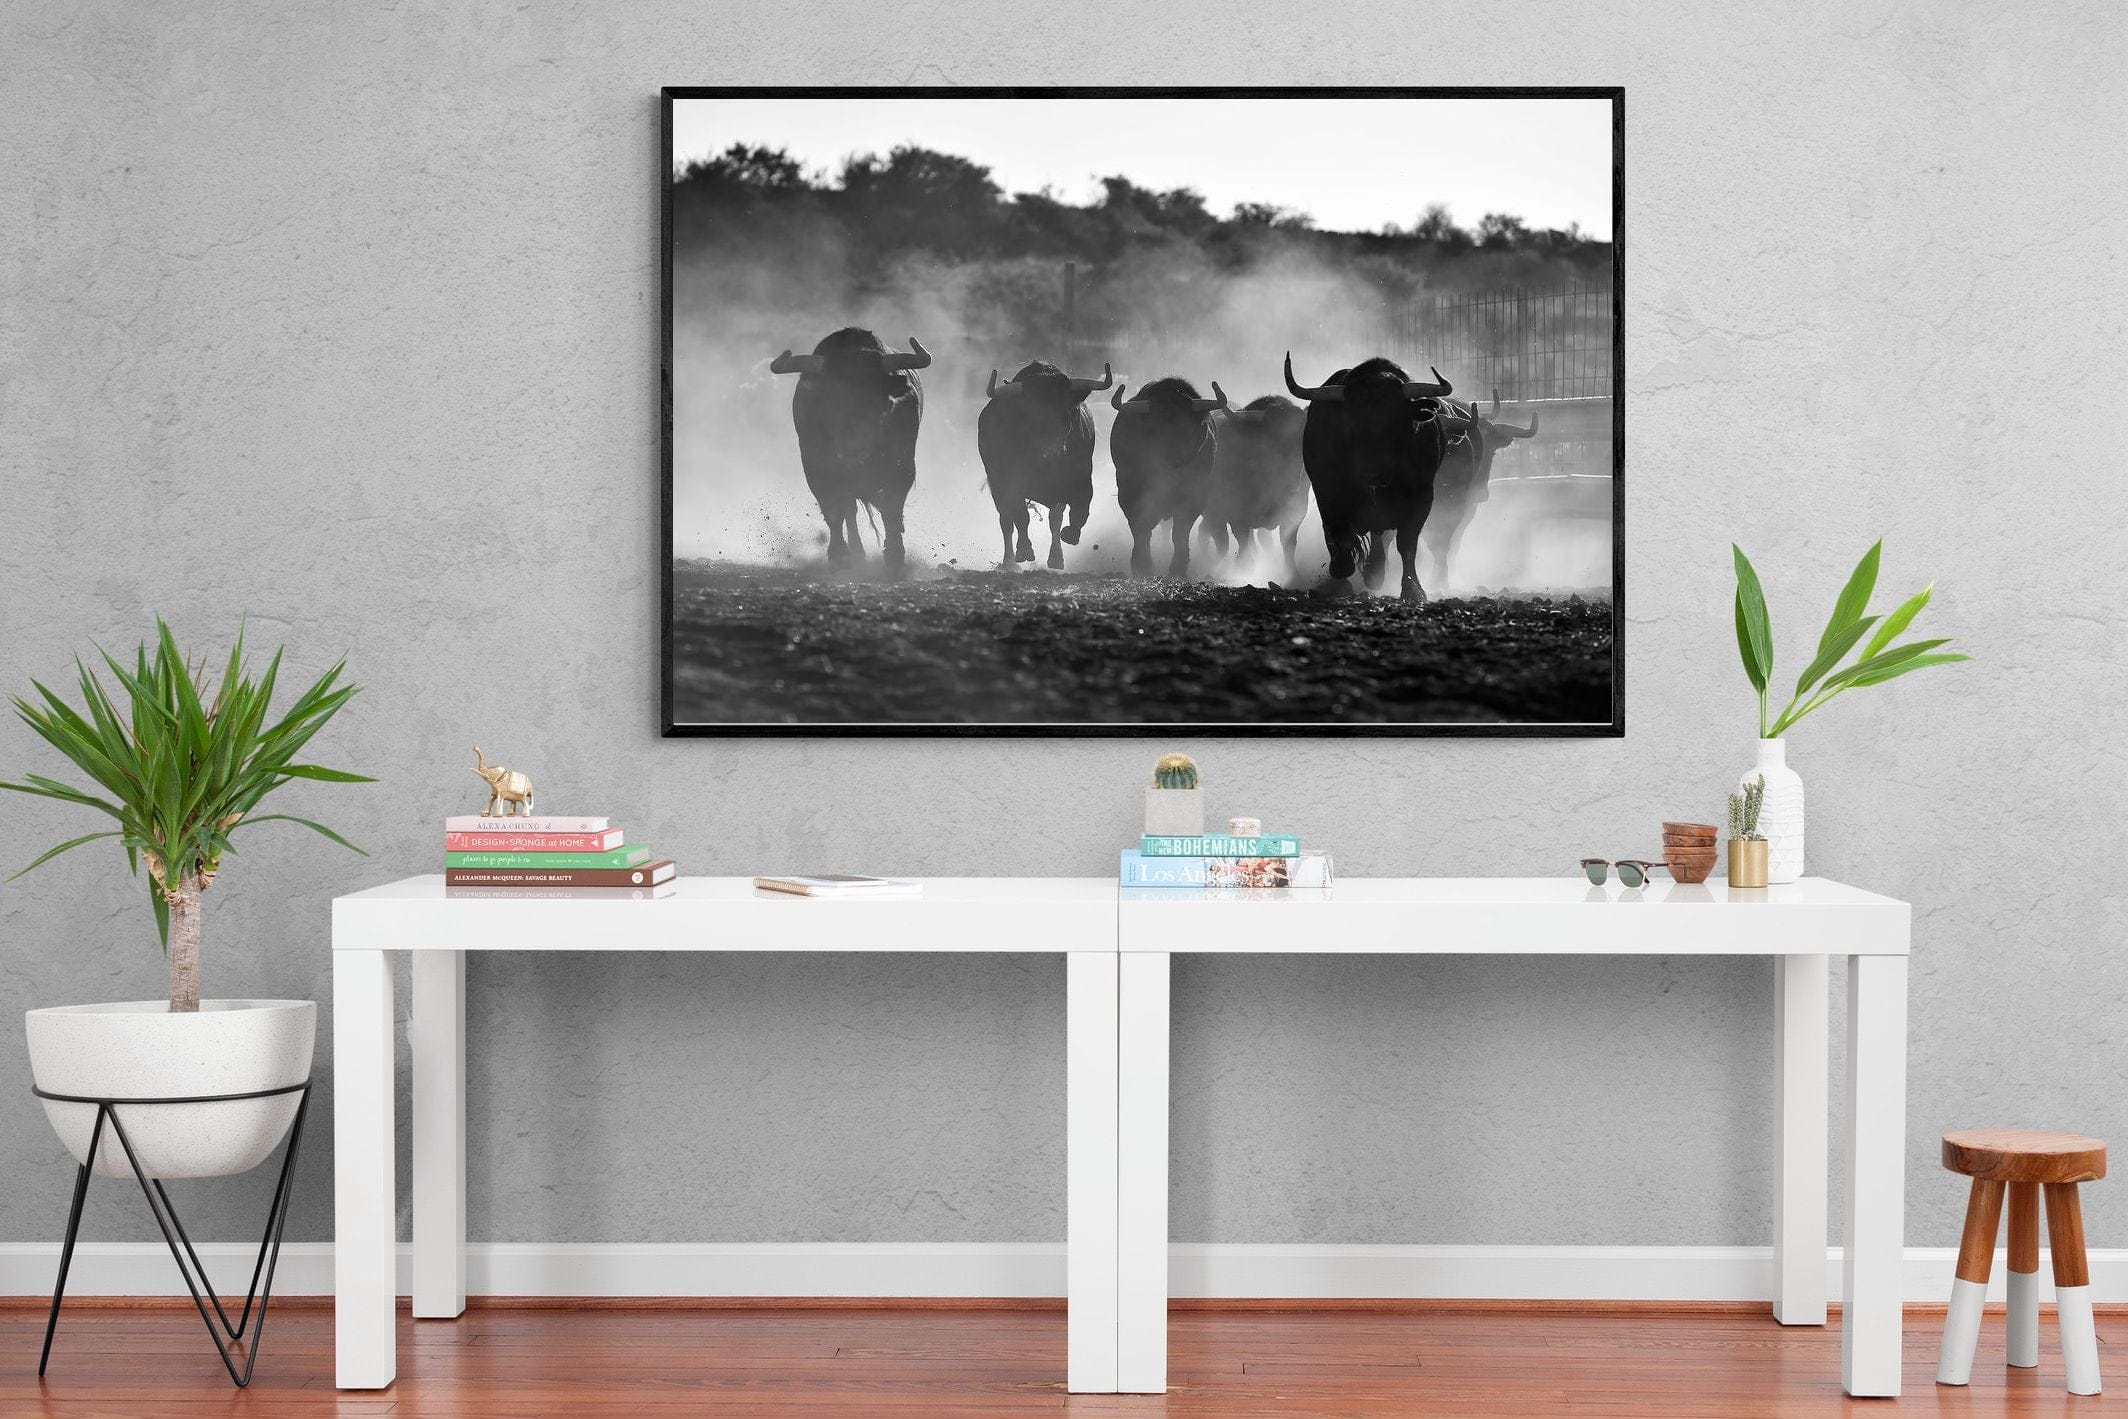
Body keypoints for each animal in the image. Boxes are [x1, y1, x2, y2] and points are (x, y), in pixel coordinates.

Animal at [767, 328, 930, 572]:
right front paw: (839, 555)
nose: (853, 448)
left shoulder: (903, 467)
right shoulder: (816, 468)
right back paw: (856, 552)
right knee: (849, 511)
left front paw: (894, 554)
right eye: (830, 399)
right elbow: (834, 511)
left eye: (877, 397)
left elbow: (892, 508)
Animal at [977, 359, 1111, 570]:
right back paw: (1009, 562)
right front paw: (1024, 550)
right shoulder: (1011, 483)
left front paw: (1069, 537)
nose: (1052, 449)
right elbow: (1021, 517)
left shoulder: (1081, 480)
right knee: (1006, 520)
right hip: (996, 484)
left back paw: (1055, 557)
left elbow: (1079, 511)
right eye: (1030, 411)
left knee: (1054, 519)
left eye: (1070, 409)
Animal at [1109, 378, 1227, 578]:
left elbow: (1180, 533)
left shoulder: (1194, 497)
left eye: (1189, 429)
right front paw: (1142, 565)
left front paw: (1178, 568)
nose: (1173, 460)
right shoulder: (1129, 492)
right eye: (1153, 429)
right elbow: (1141, 527)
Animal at [1201, 394, 1311, 584]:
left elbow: (1288, 542)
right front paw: (1244, 570)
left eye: (1302, 440)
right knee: (1219, 540)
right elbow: (1242, 540)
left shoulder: (1296, 510)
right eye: (1272, 440)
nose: (1291, 483)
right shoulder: (1235, 513)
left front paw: (1293, 577)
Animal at [1283, 352, 1471, 603]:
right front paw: (1340, 572)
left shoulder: (1422, 496)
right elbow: (1339, 534)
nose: (1372, 473)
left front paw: (1412, 589)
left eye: (1397, 420)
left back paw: (1375, 571)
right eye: (1349, 421)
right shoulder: (1326, 490)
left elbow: (1407, 543)